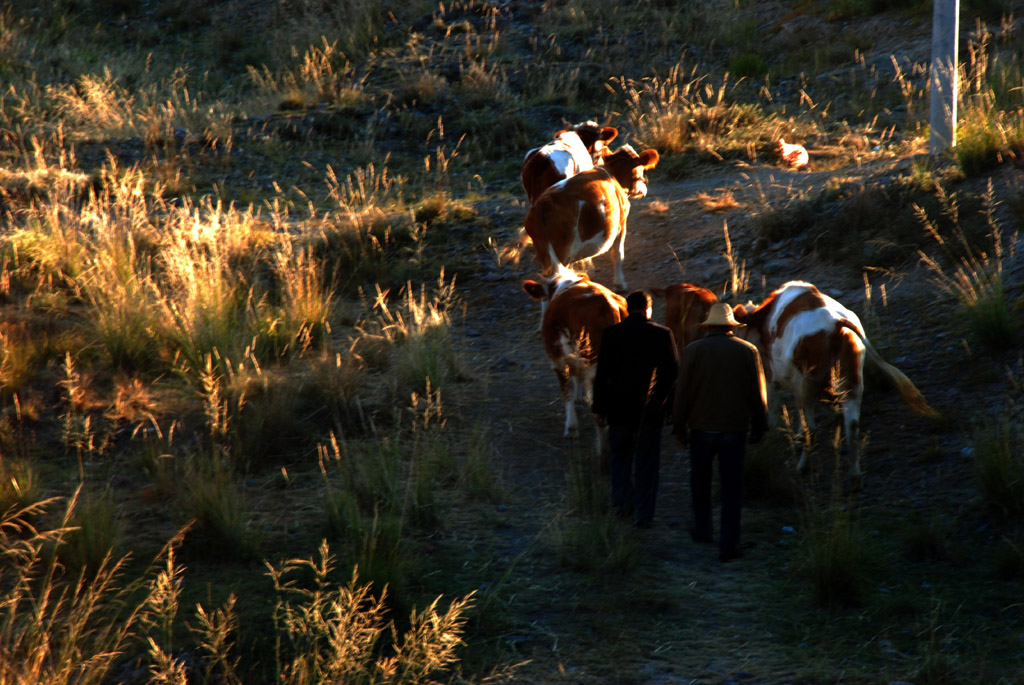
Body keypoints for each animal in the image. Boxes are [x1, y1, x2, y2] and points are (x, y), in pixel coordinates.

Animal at [524, 143, 659, 301]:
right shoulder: (621, 225)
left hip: (545, 254)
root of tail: (542, 205)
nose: (644, 189)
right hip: (562, 254)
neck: (613, 174)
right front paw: (620, 284)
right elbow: (618, 255)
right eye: (641, 169)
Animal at [524, 264, 626, 456]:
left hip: (596, 368)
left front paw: (571, 427)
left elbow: (567, 390)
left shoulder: (557, 358)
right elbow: (575, 378)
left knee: (600, 414)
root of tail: (608, 305)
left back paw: (603, 451)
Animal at [733, 278, 937, 481]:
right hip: (852, 384)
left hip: (806, 386)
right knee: (852, 426)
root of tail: (837, 324)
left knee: (812, 429)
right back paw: (854, 475)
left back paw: (803, 467)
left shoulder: (772, 379)